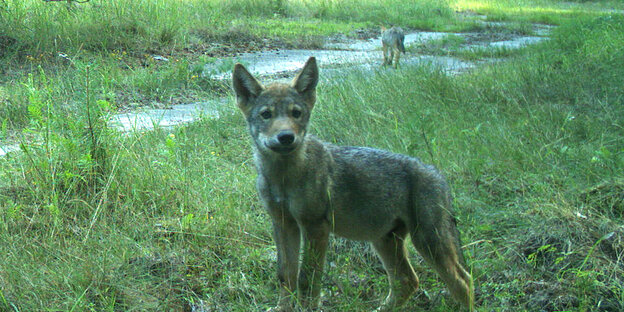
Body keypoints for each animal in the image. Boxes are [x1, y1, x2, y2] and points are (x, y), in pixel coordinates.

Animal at [233, 57, 472, 310]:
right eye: (266, 115)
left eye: (296, 113)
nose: (286, 137)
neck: (283, 177)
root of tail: (438, 174)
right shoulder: (283, 223)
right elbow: (285, 275)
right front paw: (282, 308)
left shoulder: (315, 227)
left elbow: (308, 279)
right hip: (385, 241)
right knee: (407, 281)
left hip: (427, 241)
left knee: (462, 281)